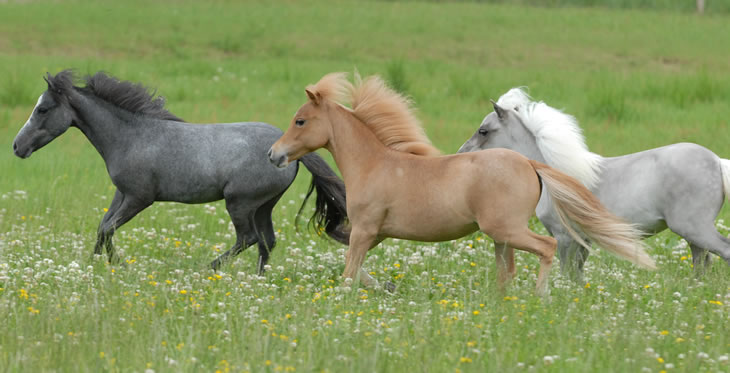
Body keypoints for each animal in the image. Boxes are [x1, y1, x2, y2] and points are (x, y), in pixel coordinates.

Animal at [12, 71, 348, 272]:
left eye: (43, 109)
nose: (17, 146)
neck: (131, 136)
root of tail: (285, 150)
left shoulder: (139, 197)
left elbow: (108, 229)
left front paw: (118, 264)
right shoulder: (122, 193)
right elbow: (102, 227)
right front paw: (95, 264)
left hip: (240, 203)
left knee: (249, 238)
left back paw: (210, 268)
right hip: (264, 205)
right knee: (267, 242)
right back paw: (257, 279)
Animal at [268, 72, 656, 294]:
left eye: (300, 121)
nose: (274, 155)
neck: (375, 164)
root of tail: (529, 162)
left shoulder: (364, 229)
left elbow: (349, 272)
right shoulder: (374, 233)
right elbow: (356, 268)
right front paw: (386, 286)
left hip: (506, 230)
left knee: (546, 247)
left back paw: (540, 295)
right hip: (501, 238)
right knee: (507, 274)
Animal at [456, 88, 728, 280]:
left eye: (483, 131)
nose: (460, 155)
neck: (558, 177)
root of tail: (715, 160)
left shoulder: (564, 237)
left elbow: (565, 273)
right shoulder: (582, 241)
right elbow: (577, 276)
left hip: (695, 229)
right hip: (694, 237)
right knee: (701, 264)